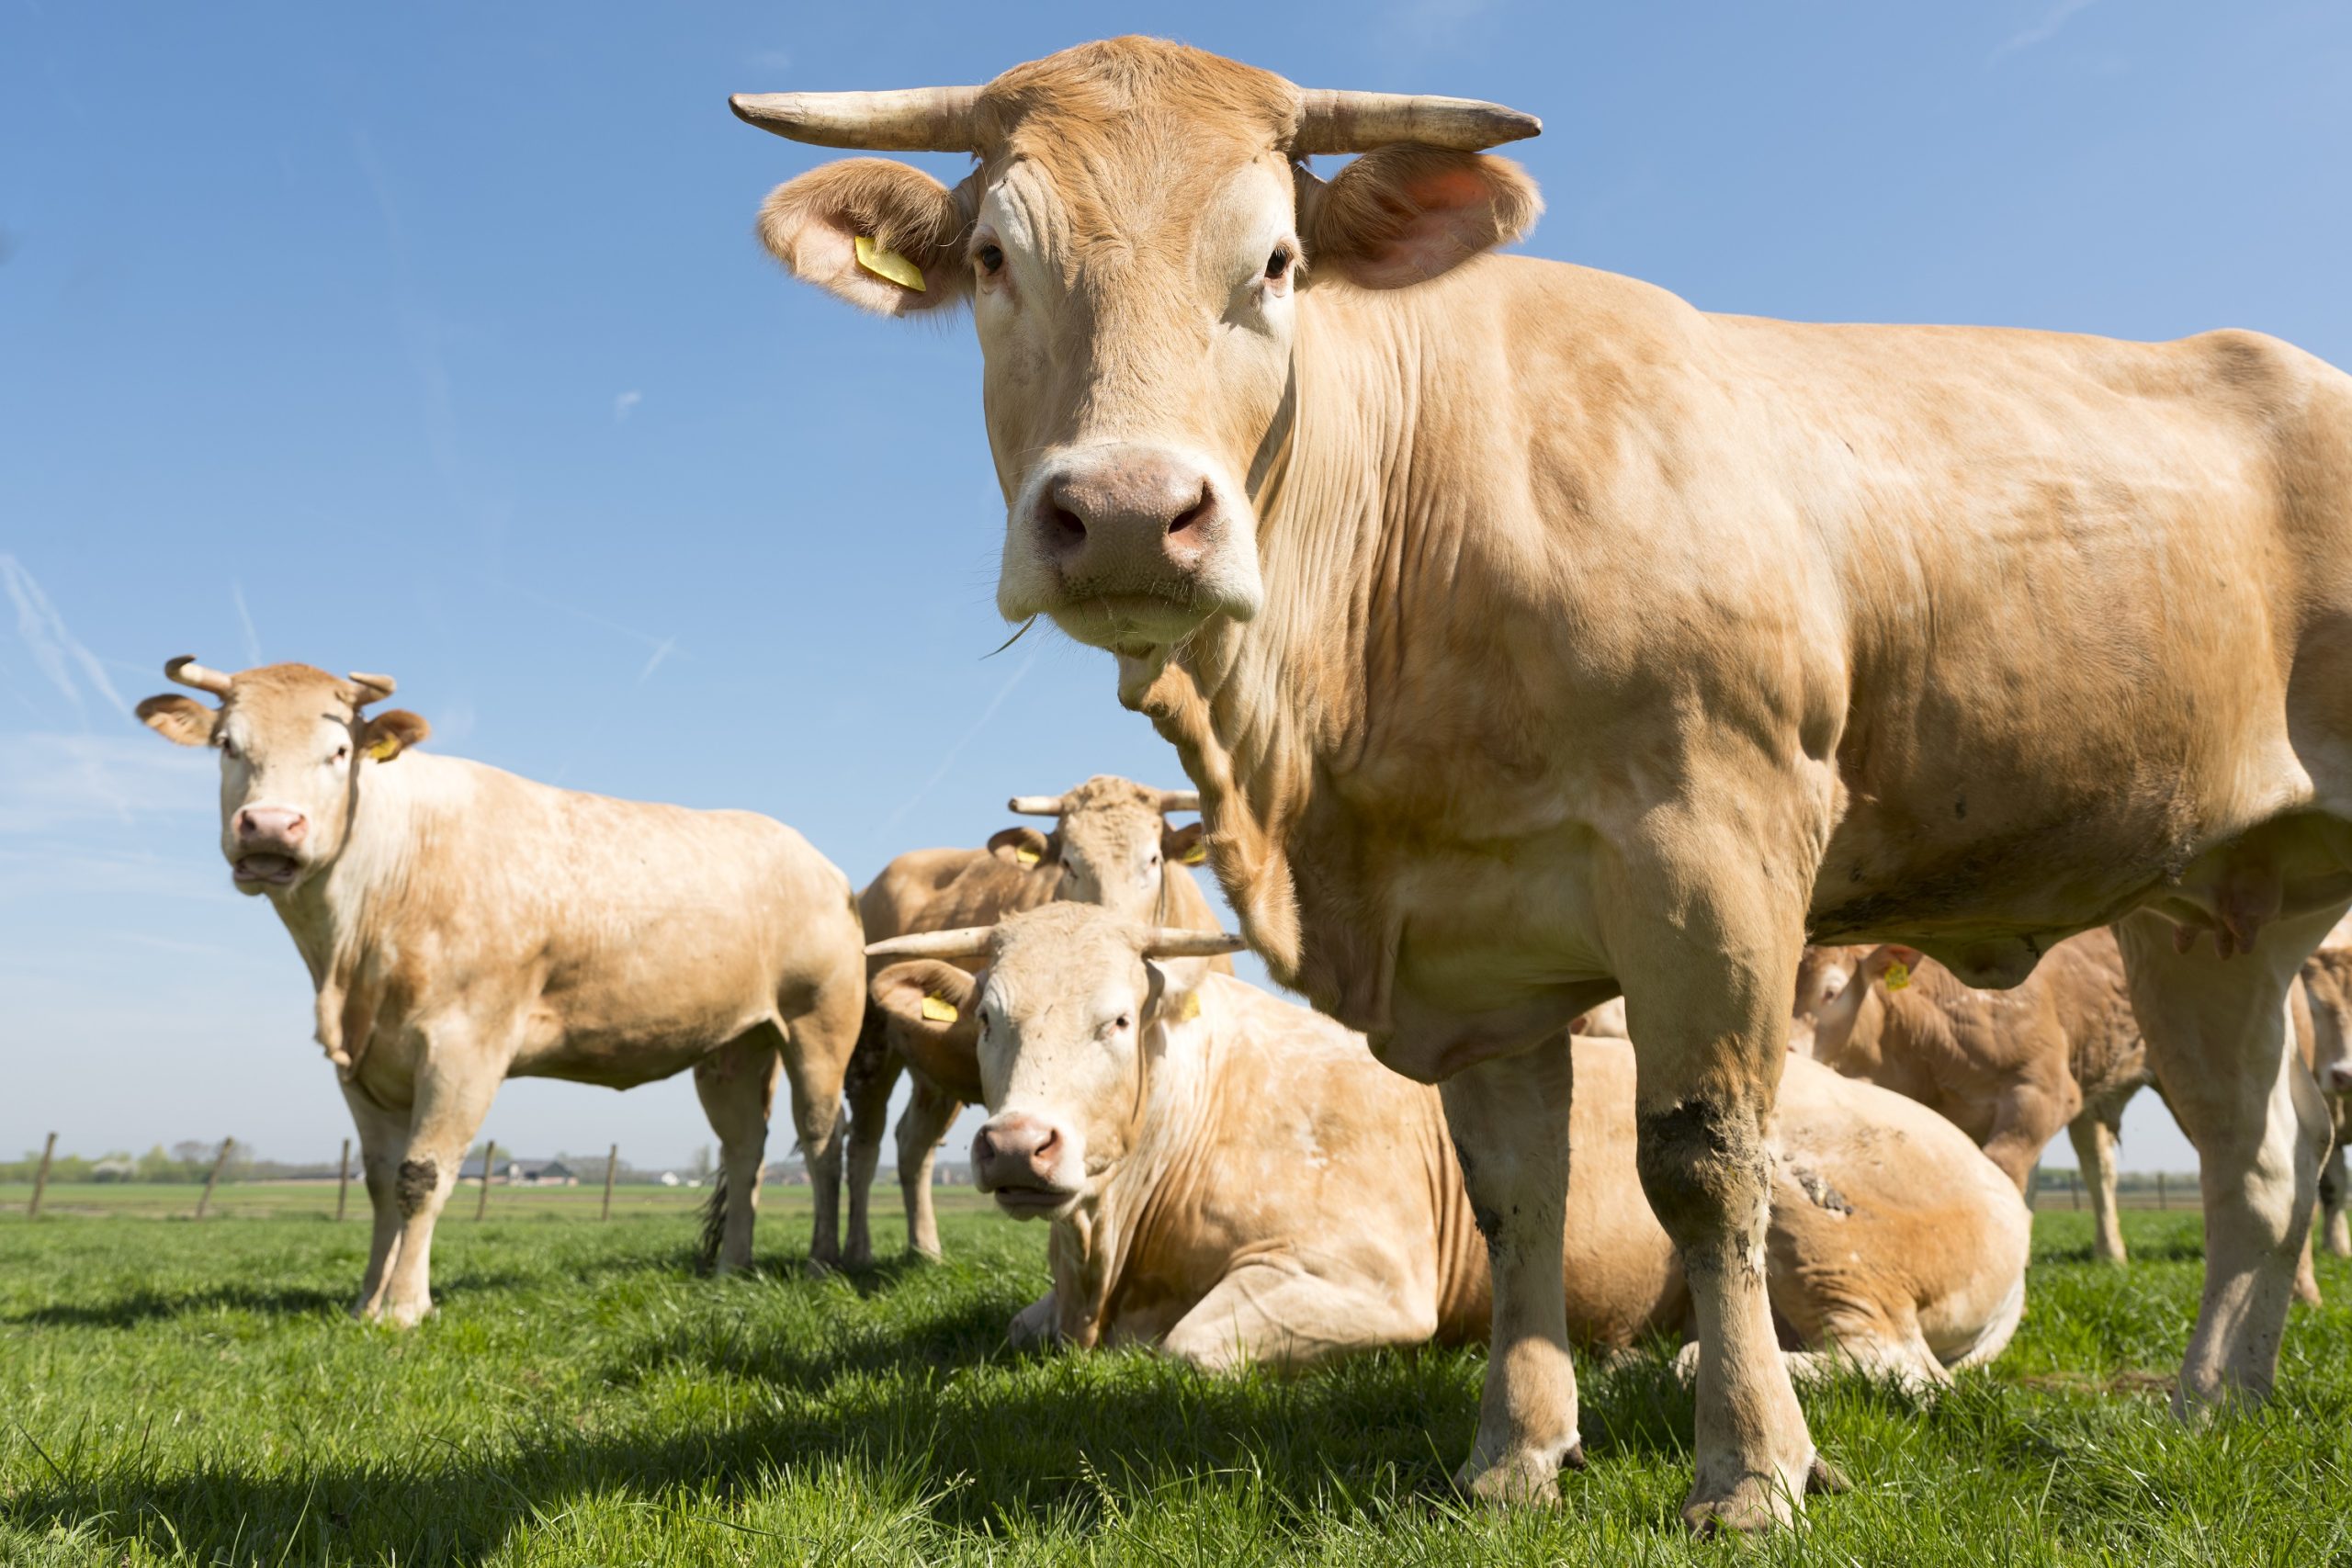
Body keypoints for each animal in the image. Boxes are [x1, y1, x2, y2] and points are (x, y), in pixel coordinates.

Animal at [130, 658, 865, 1325]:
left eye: (338, 752)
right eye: (228, 744)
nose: (270, 826)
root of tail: (817, 860)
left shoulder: (465, 1045)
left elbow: (421, 1176)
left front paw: (404, 1308)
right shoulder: (361, 1064)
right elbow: (378, 1180)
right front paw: (366, 1300)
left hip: (820, 1022)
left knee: (824, 1138)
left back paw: (822, 1260)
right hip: (733, 1046)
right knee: (745, 1149)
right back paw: (730, 1269)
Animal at [846, 780, 1223, 1269]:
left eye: (1154, 859)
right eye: (1068, 862)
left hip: (934, 1073)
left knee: (913, 1144)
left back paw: (926, 1250)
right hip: (868, 1050)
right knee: (862, 1145)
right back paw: (849, 1252)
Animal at [875, 907, 2031, 1401]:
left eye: (1117, 1020)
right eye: (986, 1018)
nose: (1016, 1145)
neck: (1109, 1262)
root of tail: (2005, 1195)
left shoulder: (1366, 1277)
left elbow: (1190, 1349)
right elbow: (1023, 1329)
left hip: (1818, 1231)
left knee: (1901, 1367)